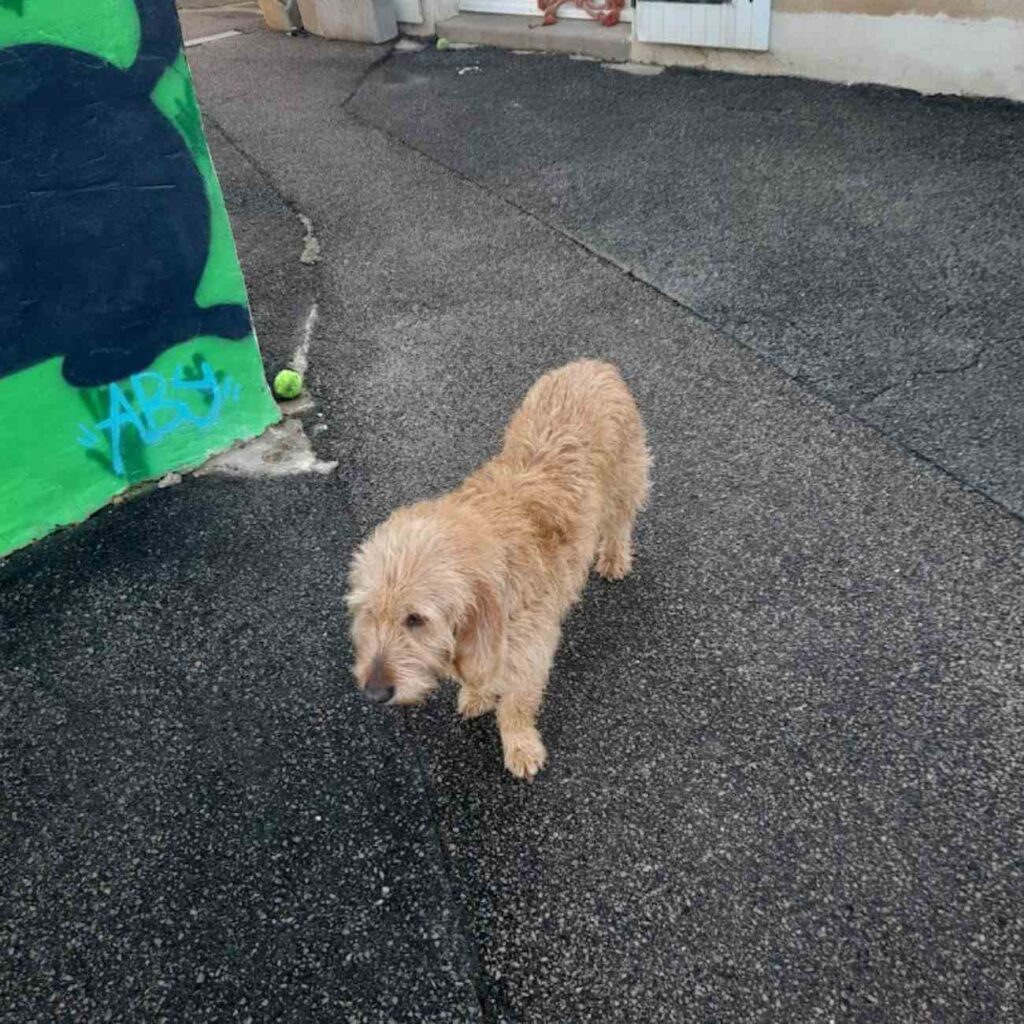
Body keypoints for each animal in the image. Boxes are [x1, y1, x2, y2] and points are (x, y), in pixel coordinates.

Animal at [344, 358, 647, 774]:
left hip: (625, 479)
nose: (374, 693)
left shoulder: (530, 649)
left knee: (620, 521)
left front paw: (520, 746)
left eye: (416, 619)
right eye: (370, 613)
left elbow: (517, 702)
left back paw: (615, 557)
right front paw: (477, 694)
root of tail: (592, 364)